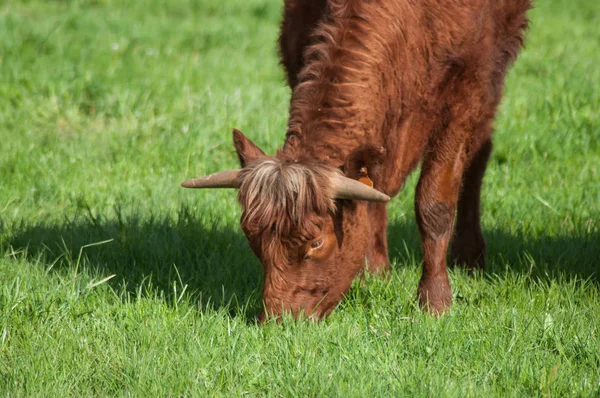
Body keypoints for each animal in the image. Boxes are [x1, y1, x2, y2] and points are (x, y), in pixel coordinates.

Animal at [183, 0, 528, 318]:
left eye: (317, 242)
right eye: (252, 237)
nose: (279, 320)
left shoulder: (468, 89)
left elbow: (434, 203)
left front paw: (435, 301)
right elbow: (372, 193)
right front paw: (373, 274)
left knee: (479, 154)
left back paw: (469, 256)